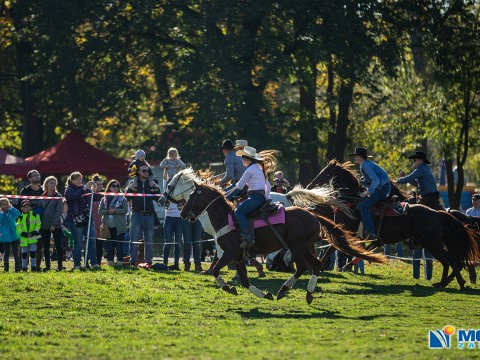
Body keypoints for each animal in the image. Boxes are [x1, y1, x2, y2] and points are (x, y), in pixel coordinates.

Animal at [174, 173, 388, 302]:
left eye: (193, 195)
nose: (183, 214)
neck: (228, 219)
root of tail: (313, 215)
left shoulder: (230, 253)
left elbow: (217, 270)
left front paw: (227, 287)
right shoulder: (238, 257)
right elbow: (244, 280)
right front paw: (264, 294)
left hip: (297, 248)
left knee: (302, 267)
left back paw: (284, 290)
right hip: (305, 248)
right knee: (316, 265)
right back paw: (308, 294)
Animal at [306, 160, 480, 290]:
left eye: (325, 173)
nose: (309, 186)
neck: (352, 203)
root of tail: (437, 213)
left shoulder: (344, 231)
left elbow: (332, 248)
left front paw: (321, 266)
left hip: (432, 243)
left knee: (451, 260)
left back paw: (457, 282)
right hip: (433, 244)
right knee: (449, 261)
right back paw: (444, 283)